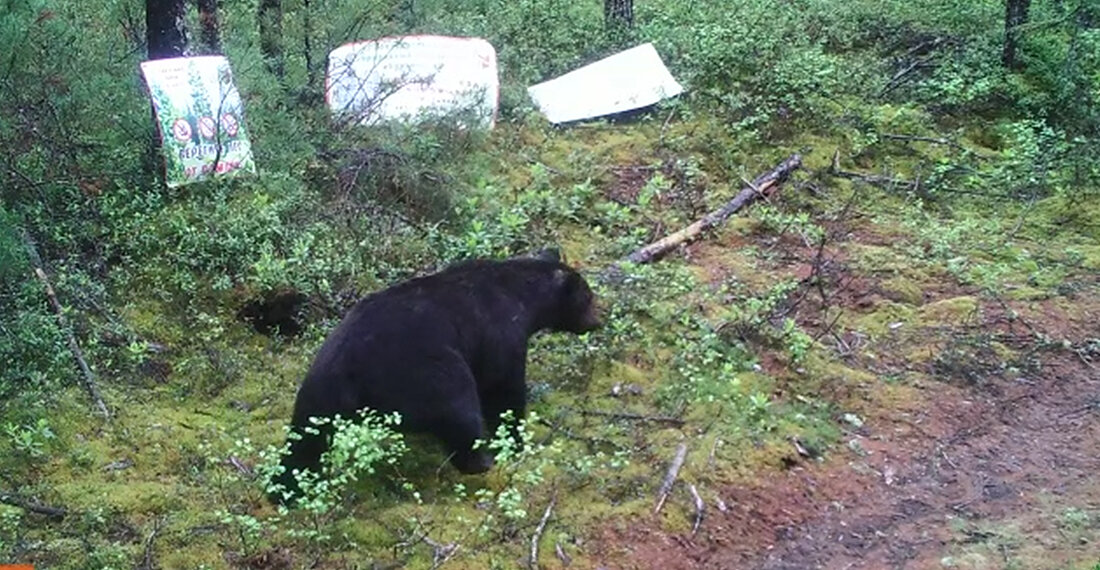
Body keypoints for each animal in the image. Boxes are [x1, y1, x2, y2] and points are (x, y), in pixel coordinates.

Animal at [271, 250, 602, 506]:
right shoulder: (499, 331)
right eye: (588, 297)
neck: (522, 297)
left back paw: (285, 488)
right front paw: (514, 439)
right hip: (425, 371)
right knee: (459, 408)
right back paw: (480, 461)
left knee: (305, 437)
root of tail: (347, 366)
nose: (598, 321)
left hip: (318, 386)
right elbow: (502, 387)